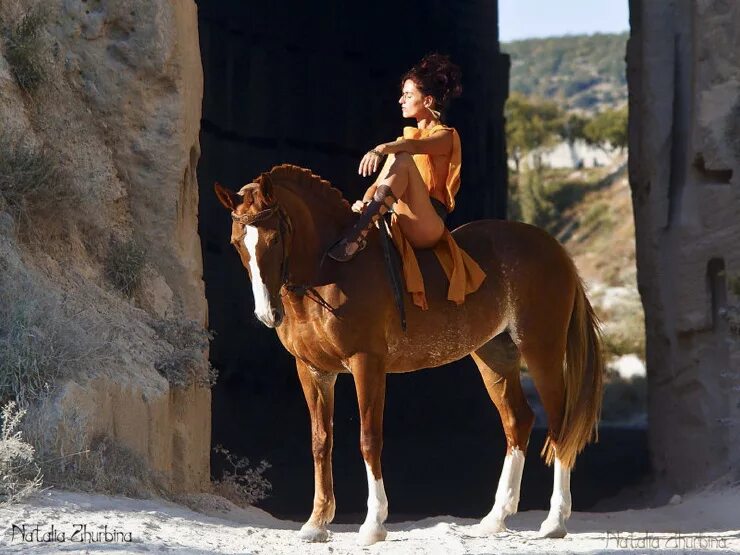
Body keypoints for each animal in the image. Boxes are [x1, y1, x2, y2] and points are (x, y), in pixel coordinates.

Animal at [212, 163, 600, 544]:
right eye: (236, 243)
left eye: (275, 238)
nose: (267, 314)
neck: (330, 269)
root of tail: (554, 248)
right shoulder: (312, 371)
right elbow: (321, 441)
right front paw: (317, 522)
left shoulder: (366, 364)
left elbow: (369, 439)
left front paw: (373, 525)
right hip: (494, 356)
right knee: (518, 421)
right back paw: (495, 518)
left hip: (541, 350)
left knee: (560, 424)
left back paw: (554, 522)